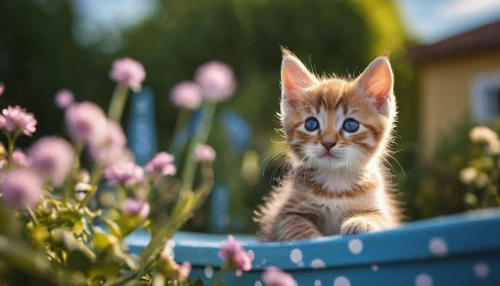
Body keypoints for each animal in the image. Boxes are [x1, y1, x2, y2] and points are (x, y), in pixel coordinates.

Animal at [256, 49, 404, 241]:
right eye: (311, 124)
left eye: (351, 125)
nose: (327, 143)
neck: (336, 186)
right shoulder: (284, 216)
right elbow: (297, 227)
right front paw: (315, 239)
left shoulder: (383, 211)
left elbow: (378, 217)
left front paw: (361, 222)